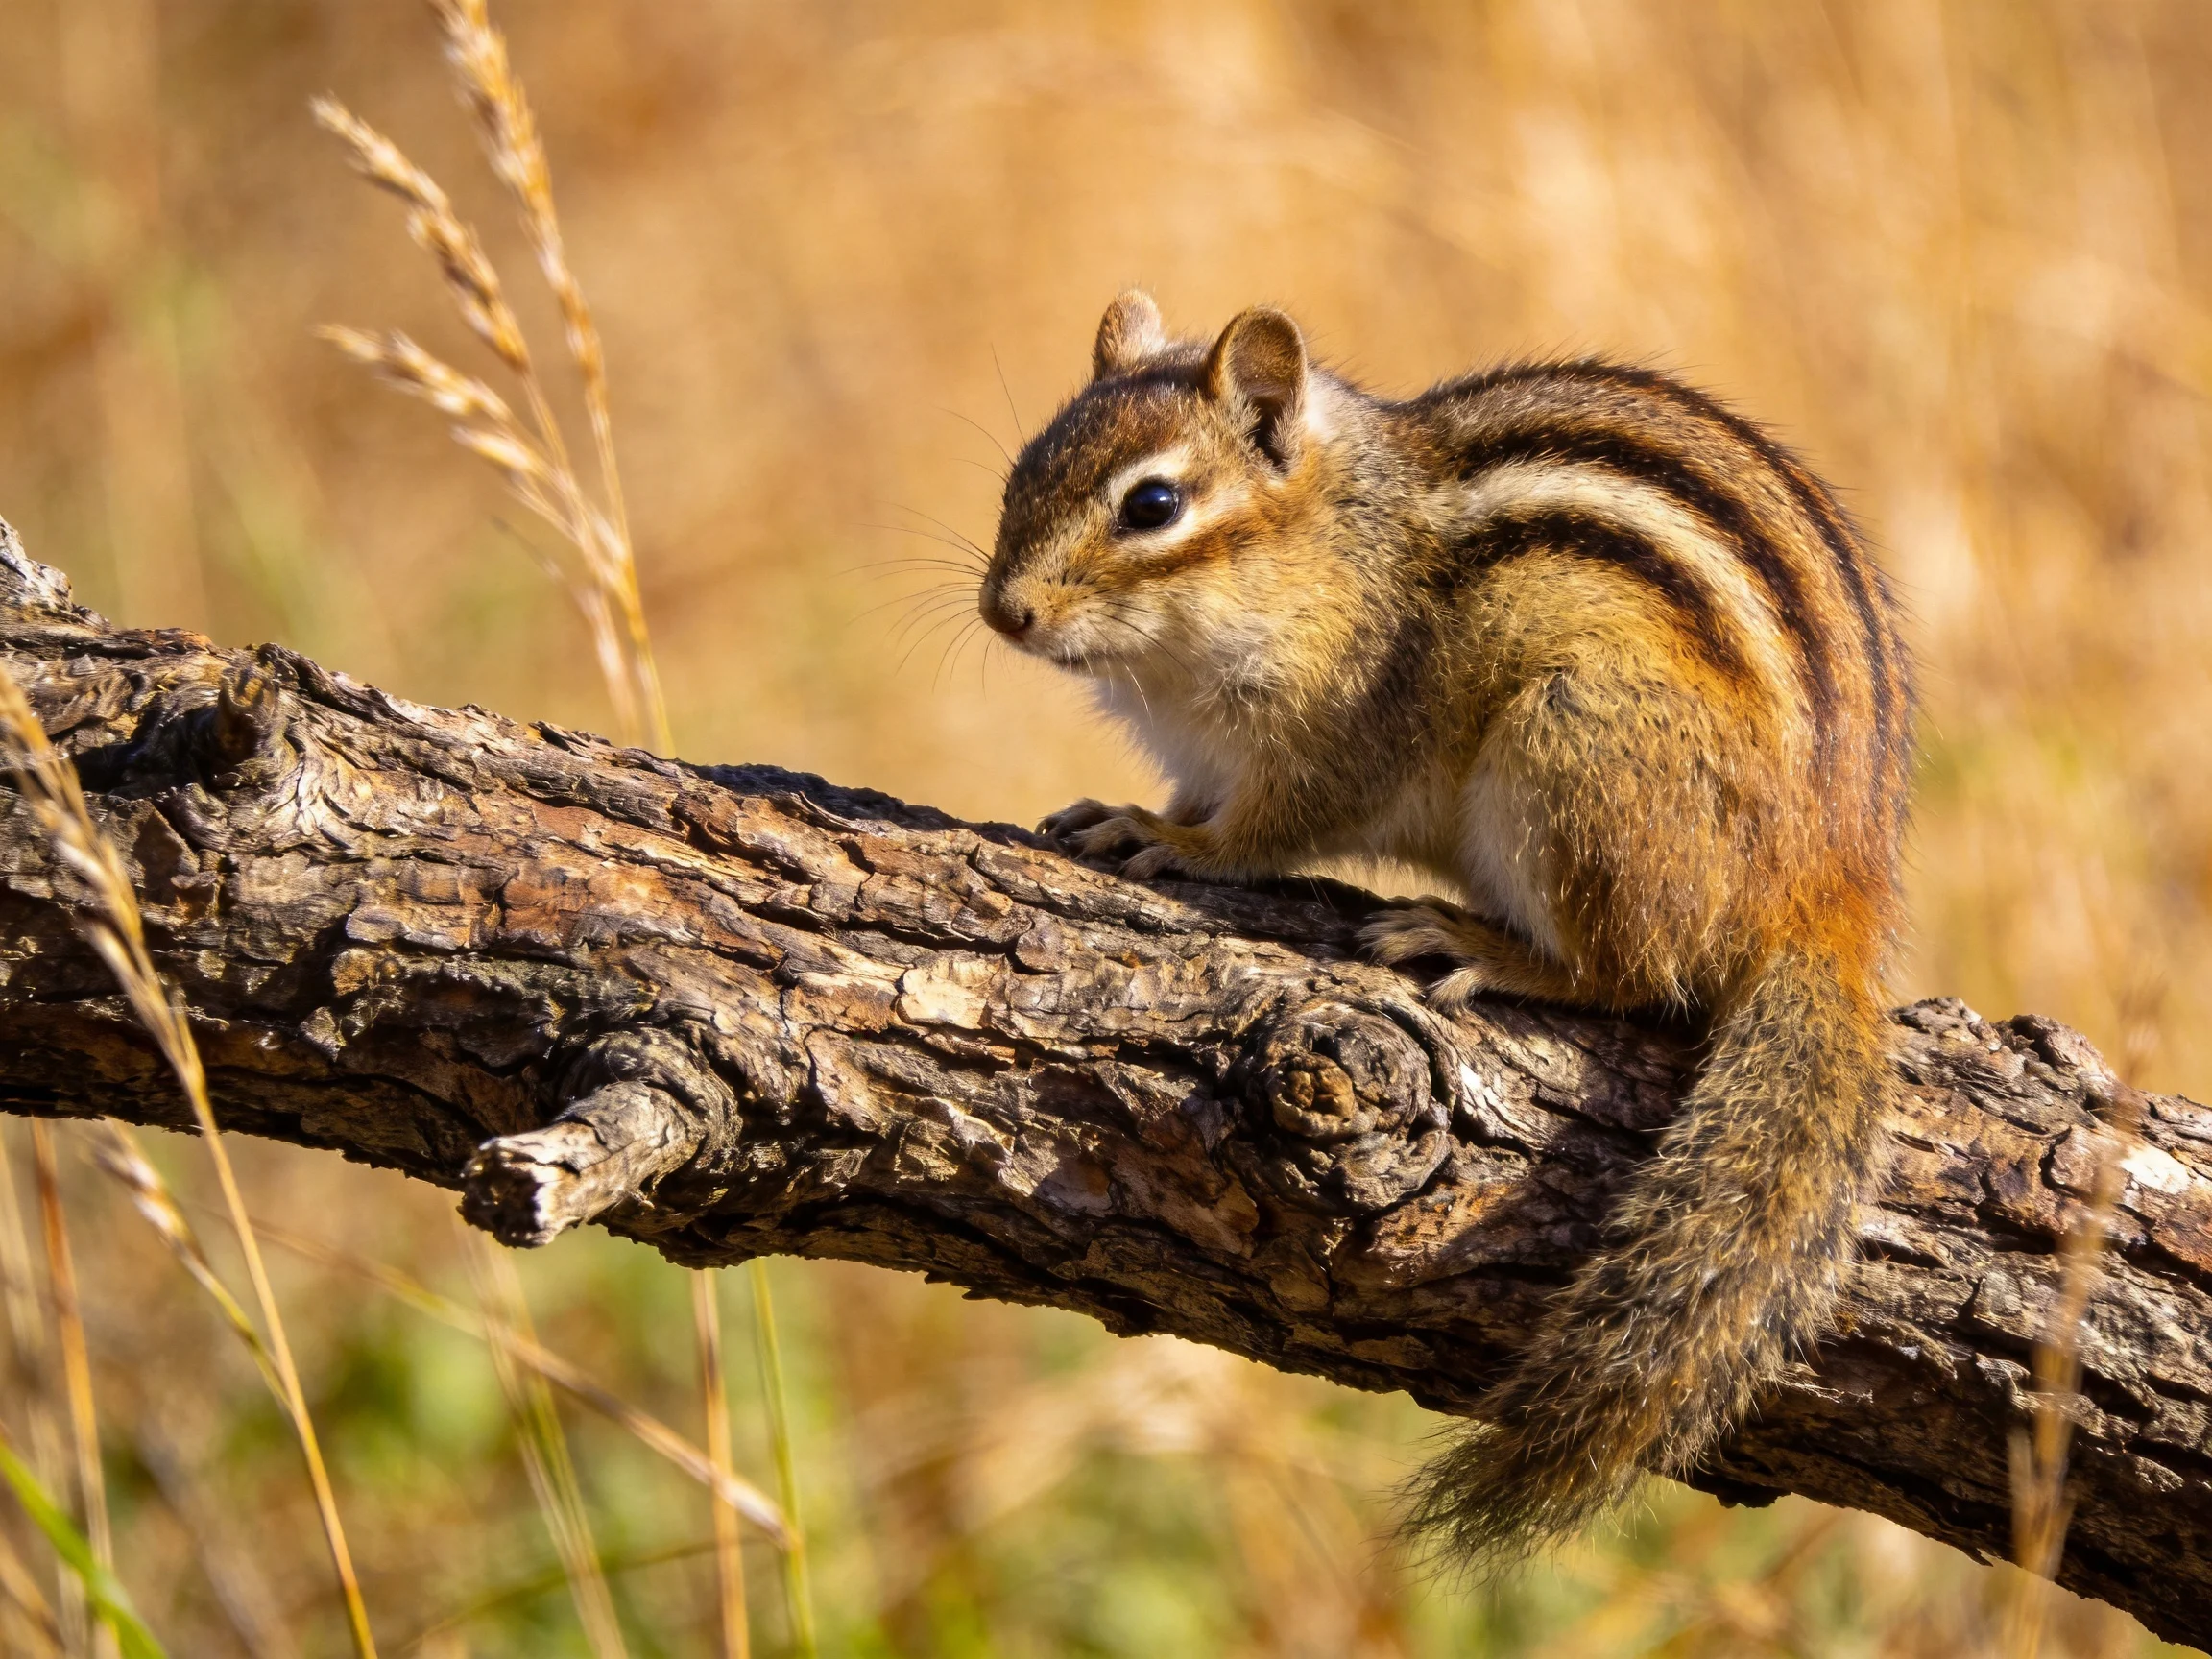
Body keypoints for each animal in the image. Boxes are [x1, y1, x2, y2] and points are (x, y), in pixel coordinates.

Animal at [976, 290, 1913, 1562]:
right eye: (1023, 468)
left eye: (1153, 506)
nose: (1003, 610)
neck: (1323, 544)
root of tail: (1833, 892)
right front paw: (1118, 811)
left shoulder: (1341, 734)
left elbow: (1266, 831)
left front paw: (1172, 843)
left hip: (1572, 753)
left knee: (1634, 974)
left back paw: (1479, 946)